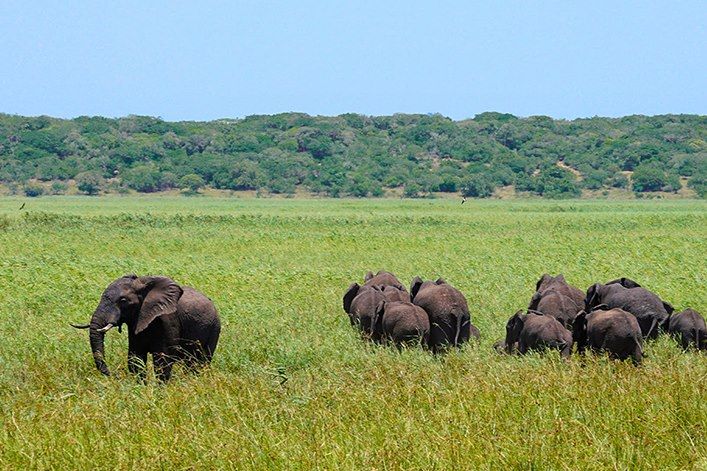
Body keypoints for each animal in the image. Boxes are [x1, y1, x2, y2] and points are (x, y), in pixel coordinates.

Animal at [71, 274, 221, 382]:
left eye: (123, 301)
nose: (112, 375)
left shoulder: (168, 320)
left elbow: (162, 360)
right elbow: (135, 358)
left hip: (214, 328)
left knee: (200, 361)